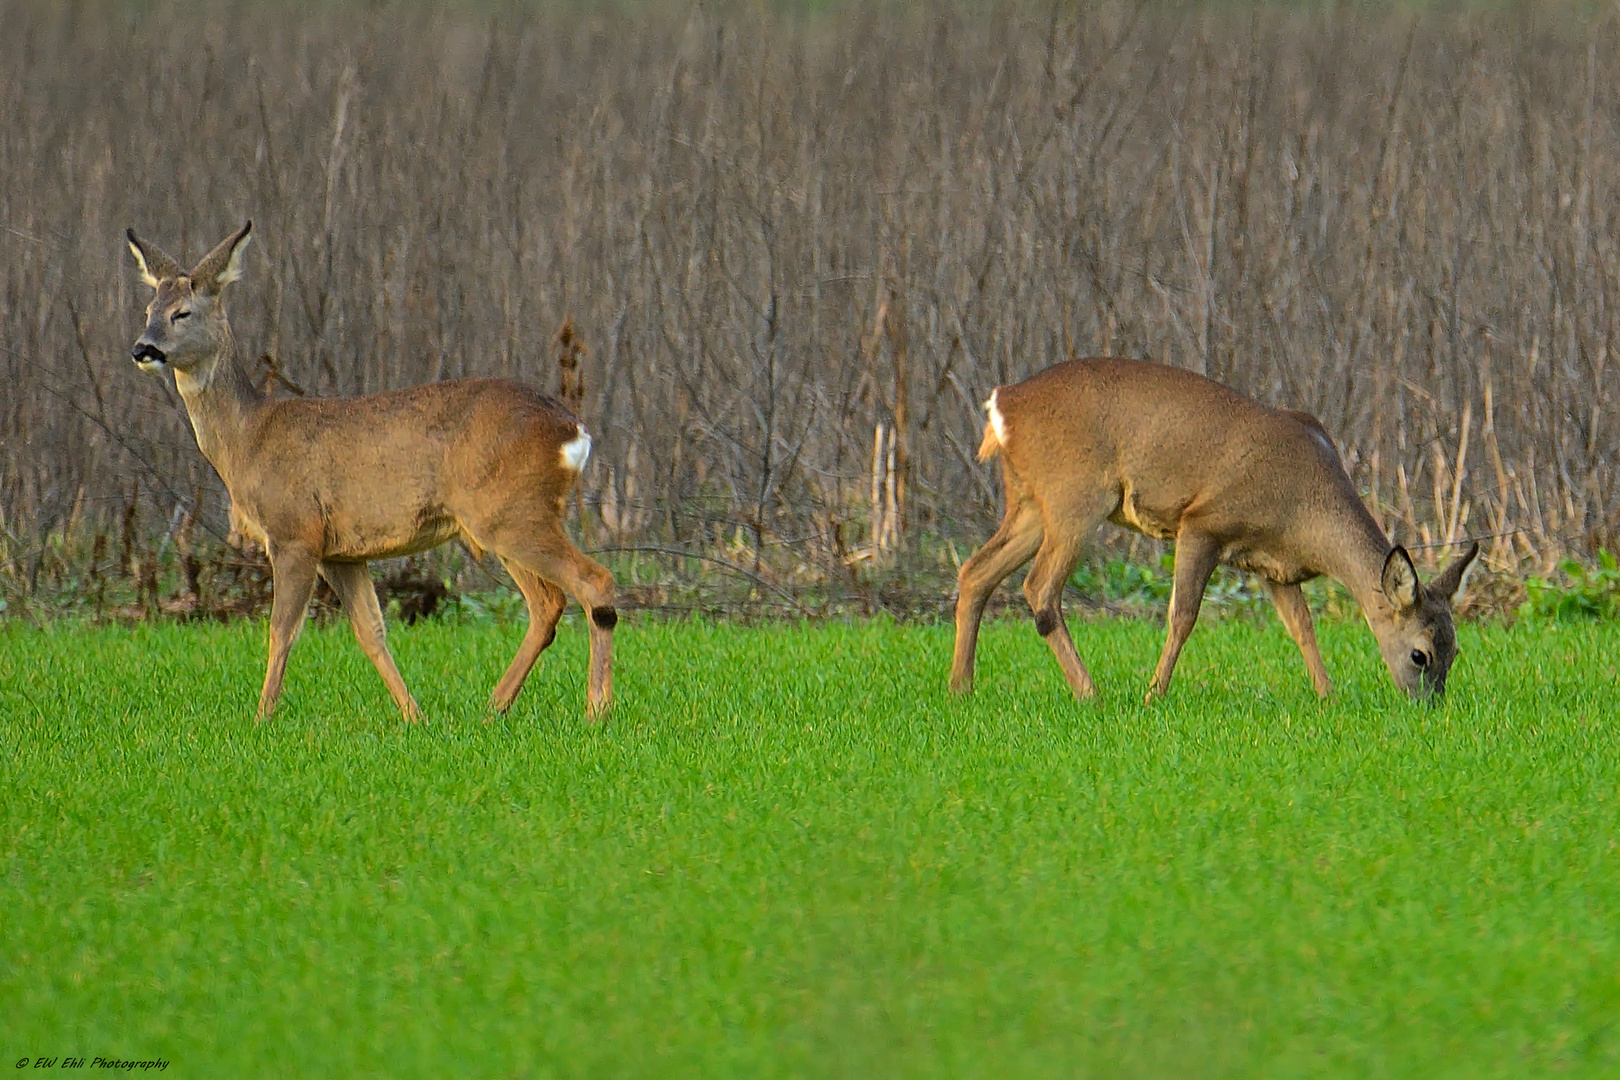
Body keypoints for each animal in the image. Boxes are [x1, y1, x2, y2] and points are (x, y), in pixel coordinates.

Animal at [124, 223, 618, 722]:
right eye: (148, 310)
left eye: (182, 313)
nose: (143, 348)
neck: (248, 438)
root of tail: (574, 431)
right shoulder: (342, 553)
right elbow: (370, 632)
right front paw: (414, 716)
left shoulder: (294, 532)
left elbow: (282, 630)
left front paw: (262, 718)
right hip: (501, 520)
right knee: (548, 603)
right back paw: (493, 707)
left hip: (511, 513)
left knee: (594, 582)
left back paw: (595, 710)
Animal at [946, 359, 1483, 705]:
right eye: (1420, 655)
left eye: (1456, 651)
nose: (1430, 708)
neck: (1305, 508)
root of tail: (1003, 404)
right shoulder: (1202, 523)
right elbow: (1183, 616)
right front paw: (1154, 695)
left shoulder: (1272, 566)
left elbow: (1302, 628)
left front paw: (1328, 697)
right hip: (1075, 497)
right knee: (1039, 589)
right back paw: (1090, 692)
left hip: (1030, 504)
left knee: (975, 572)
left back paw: (960, 689)